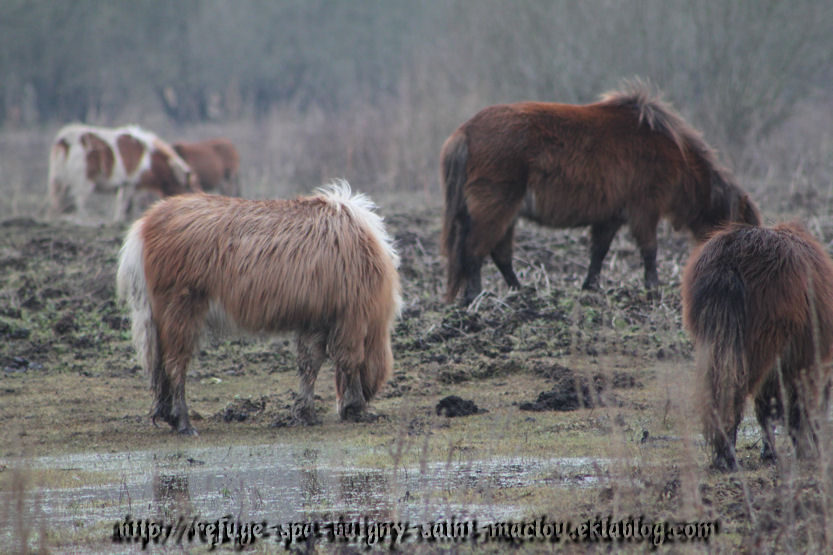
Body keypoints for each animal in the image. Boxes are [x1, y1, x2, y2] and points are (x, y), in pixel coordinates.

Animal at [49, 124, 198, 222]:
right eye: (188, 187)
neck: (148, 158)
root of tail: (63, 140)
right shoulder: (130, 184)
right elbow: (126, 204)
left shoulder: (122, 186)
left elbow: (120, 203)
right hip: (84, 182)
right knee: (79, 202)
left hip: (59, 180)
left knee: (59, 201)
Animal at [116, 180, 400, 436]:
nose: (355, 407)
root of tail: (145, 226)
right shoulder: (350, 318)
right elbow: (349, 359)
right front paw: (356, 408)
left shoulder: (315, 320)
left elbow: (309, 364)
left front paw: (305, 413)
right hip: (181, 312)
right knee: (175, 365)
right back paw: (184, 423)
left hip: (160, 316)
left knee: (160, 365)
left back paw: (169, 416)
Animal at [442, 78, 760, 304]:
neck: (674, 153)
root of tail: (464, 132)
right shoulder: (644, 210)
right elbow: (649, 249)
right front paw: (653, 289)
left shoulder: (611, 217)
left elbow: (599, 252)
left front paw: (590, 288)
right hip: (495, 208)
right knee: (474, 251)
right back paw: (476, 297)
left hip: (506, 213)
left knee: (498, 254)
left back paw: (521, 292)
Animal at [680, 224, 832, 472]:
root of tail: (727, 263)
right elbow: (792, 407)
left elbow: (767, 409)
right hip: (758, 350)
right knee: (735, 395)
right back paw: (729, 458)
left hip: (716, 344)